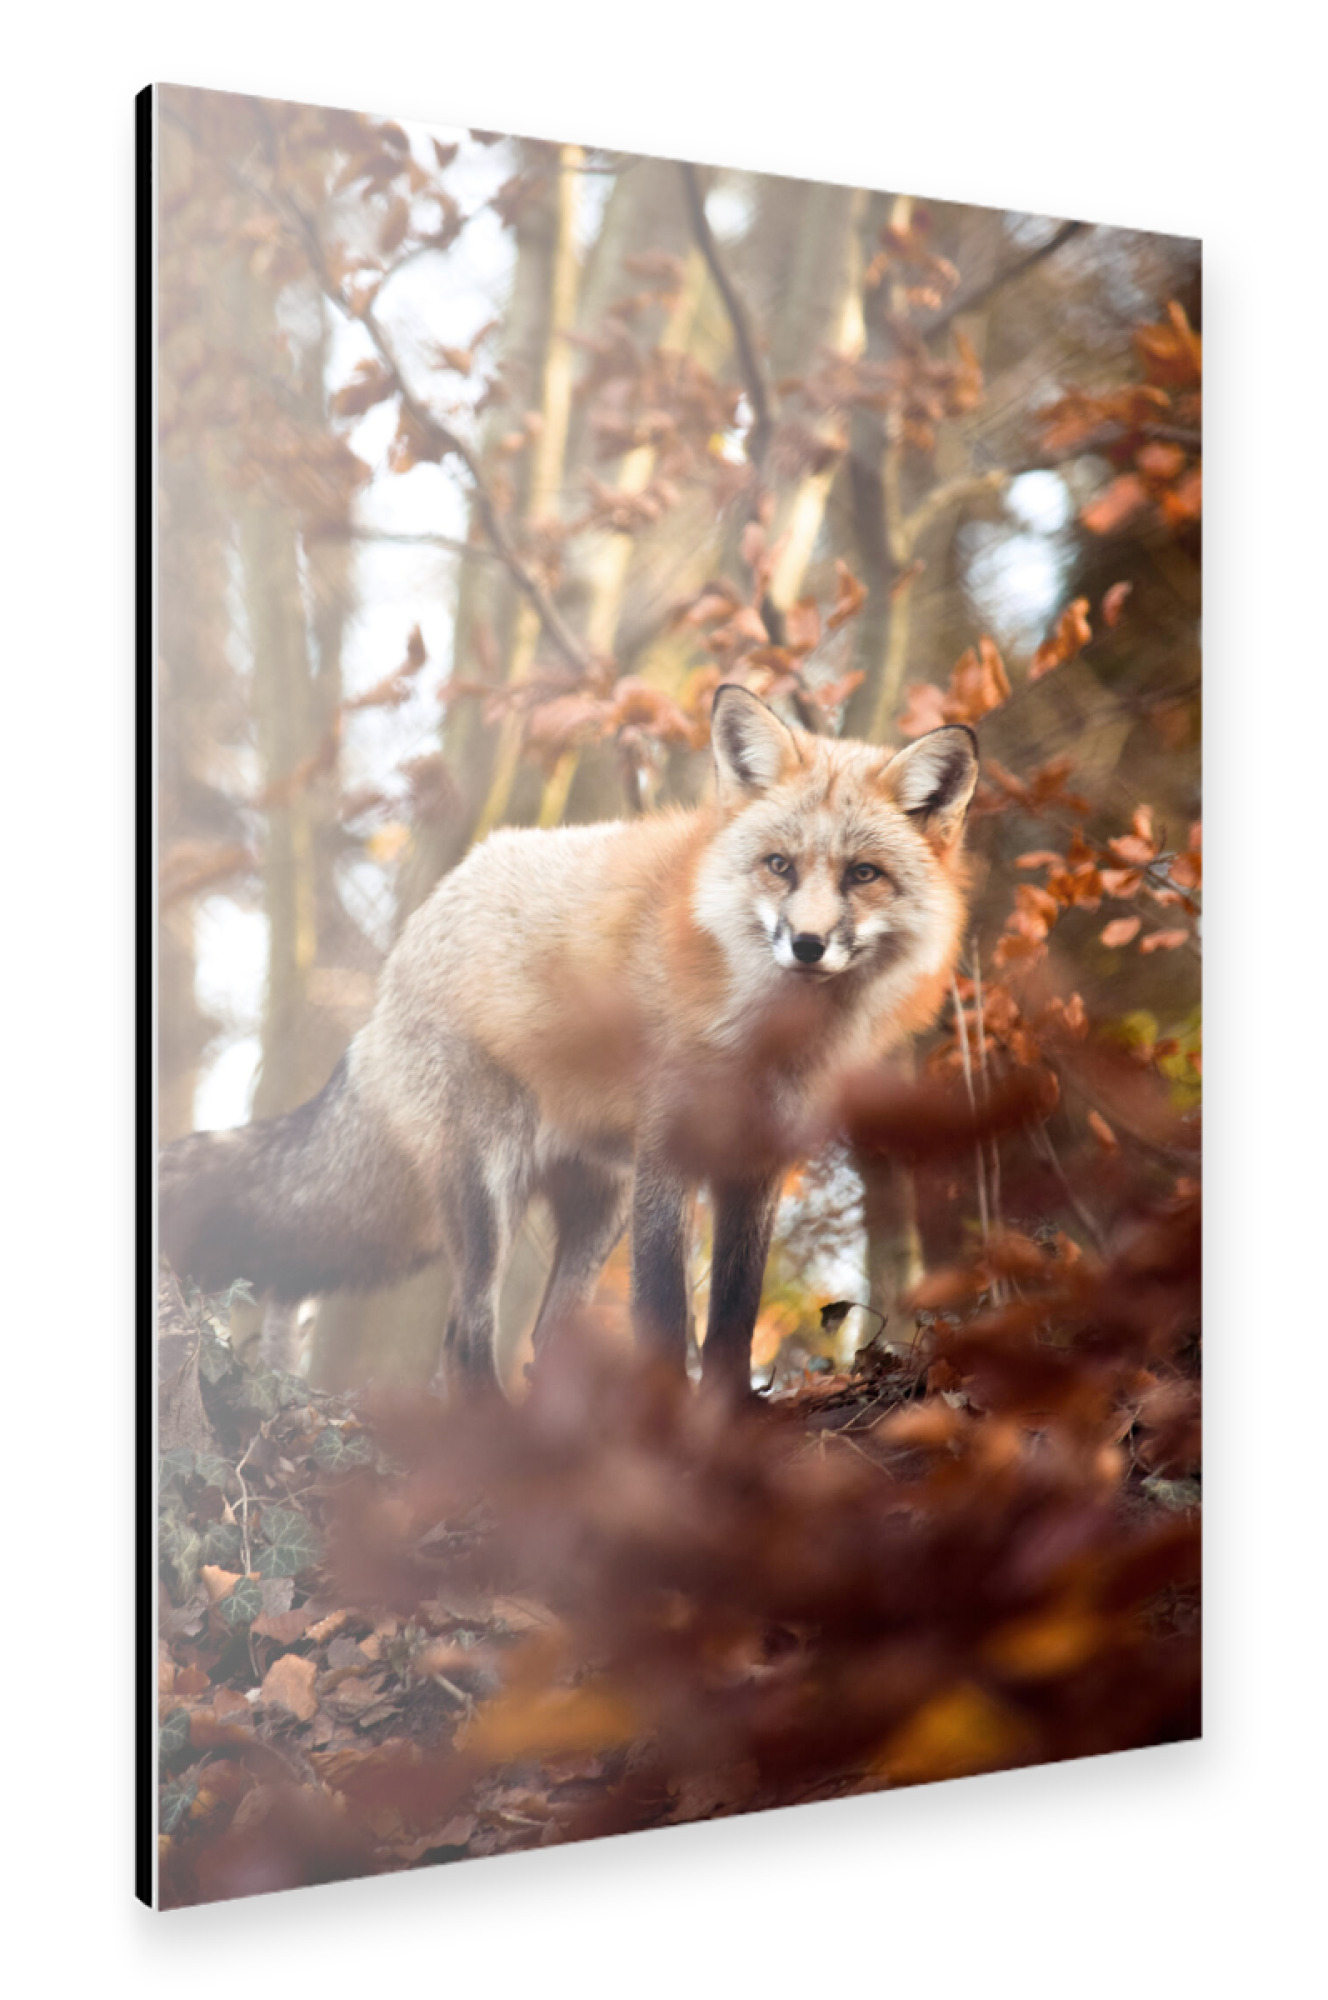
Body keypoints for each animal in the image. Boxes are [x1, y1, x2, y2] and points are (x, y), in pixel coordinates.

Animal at [159, 686, 979, 1397]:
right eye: (779, 866)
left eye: (863, 874)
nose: (807, 945)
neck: (768, 1038)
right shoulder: (667, 1151)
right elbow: (662, 1313)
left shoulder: (756, 1162)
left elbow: (732, 1318)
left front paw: (730, 1419)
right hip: (490, 1191)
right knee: (464, 1338)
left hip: (596, 1206)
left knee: (542, 1340)